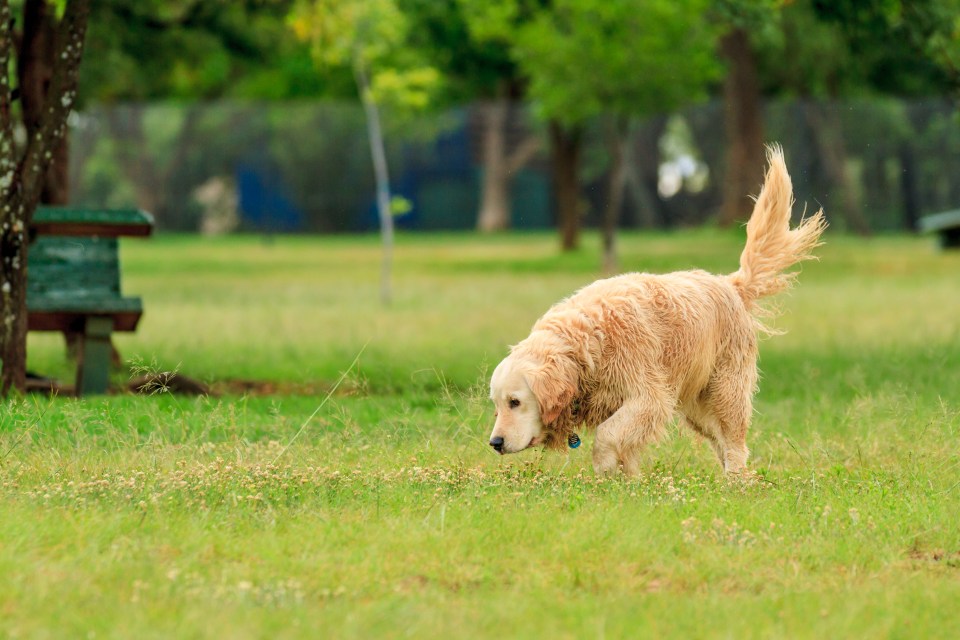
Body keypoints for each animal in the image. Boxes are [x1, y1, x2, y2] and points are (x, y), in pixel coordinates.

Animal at [488, 146, 824, 476]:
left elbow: (607, 435)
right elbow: (625, 448)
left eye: (515, 402)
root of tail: (730, 283)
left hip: (725, 392)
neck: (588, 343)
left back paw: (737, 481)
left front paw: (605, 471)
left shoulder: (649, 397)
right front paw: (629, 481)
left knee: (734, 443)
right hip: (697, 408)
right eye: (497, 404)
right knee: (719, 441)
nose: (495, 443)